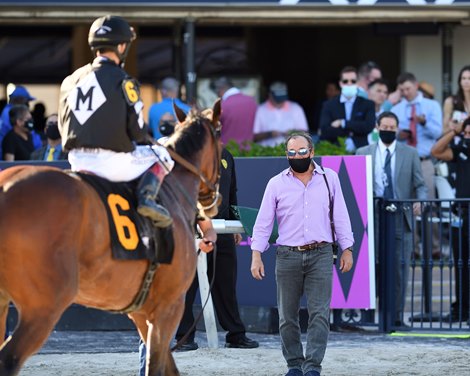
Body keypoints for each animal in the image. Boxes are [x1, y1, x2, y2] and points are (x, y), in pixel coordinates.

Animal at [0, 100, 222, 376]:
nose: (213, 200)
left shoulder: (142, 313)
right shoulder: (169, 306)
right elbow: (155, 365)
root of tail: (6, 188)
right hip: (44, 307)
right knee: (9, 358)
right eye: (220, 134)